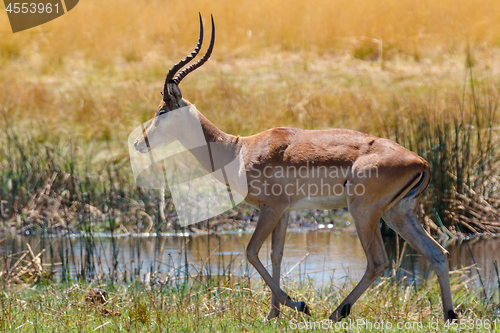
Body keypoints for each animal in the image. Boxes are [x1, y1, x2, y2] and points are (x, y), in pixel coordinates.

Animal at [132, 13, 458, 322]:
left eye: (162, 110)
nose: (138, 142)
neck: (238, 149)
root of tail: (421, 161)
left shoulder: (271, 207)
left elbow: (251, 251)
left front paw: (299, 305)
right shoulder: (285, 210)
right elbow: (276, 255)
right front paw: (273, 313)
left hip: (364, 212)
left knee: (378, 261)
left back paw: (335, 313)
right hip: (397, 213)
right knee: (438, 253)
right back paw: (449, 315)